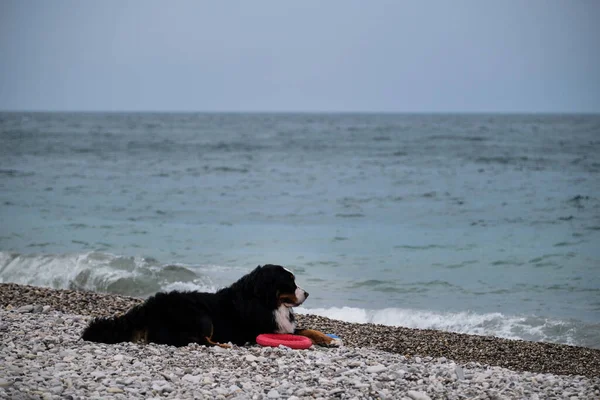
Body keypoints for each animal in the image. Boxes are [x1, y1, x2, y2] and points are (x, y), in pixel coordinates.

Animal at [82, 262, 340, 346]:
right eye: (290, 282)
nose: (307, 293)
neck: (265, 301)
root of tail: (148, 308)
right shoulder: (265, 329)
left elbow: (309, 330)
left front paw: (329, 340)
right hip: (200, 315)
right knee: (196, 340)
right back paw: (225, 345)